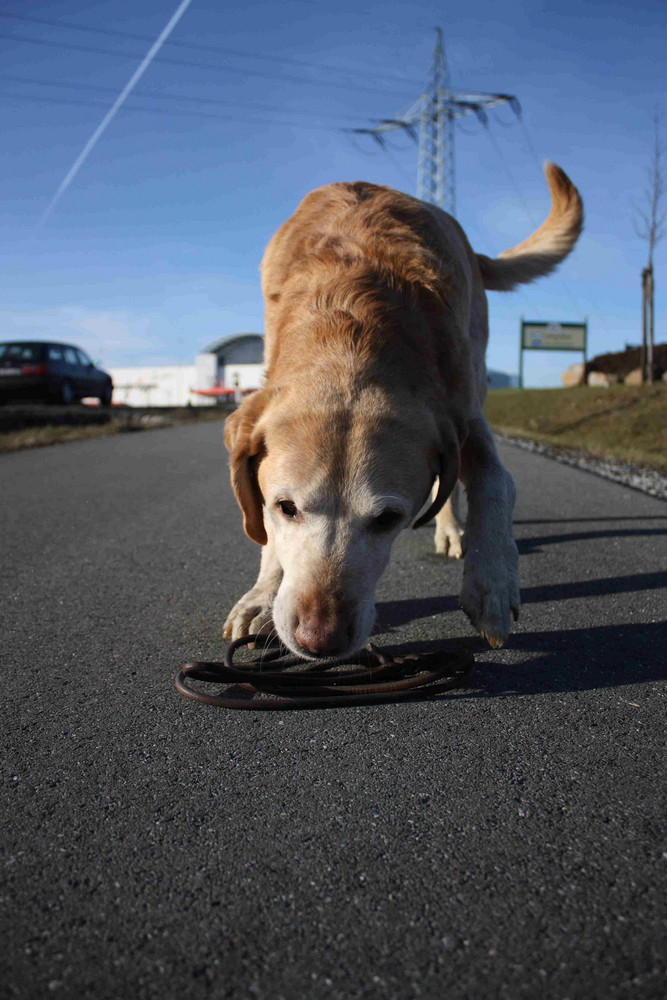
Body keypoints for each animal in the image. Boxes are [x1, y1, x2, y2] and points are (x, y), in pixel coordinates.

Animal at [222, 166, 580, 656]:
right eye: (286, 507)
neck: (350, 329)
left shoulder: (461, 412)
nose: (320, 641)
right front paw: (261, 595)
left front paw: (491, 583)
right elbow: (265, 534)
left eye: (388, 519)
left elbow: (494, 482)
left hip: (478, 365)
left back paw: (452, 531)